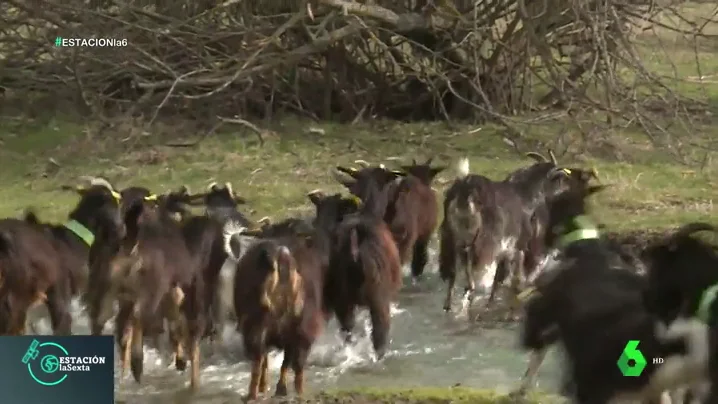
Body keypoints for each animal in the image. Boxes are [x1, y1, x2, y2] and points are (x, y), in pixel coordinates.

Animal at [231, 221, 326, 398]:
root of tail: (282, 255)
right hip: (302, 325)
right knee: (296, 362)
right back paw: (297, 391)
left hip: (258, 323)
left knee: (259, 358)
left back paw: (253, 393)